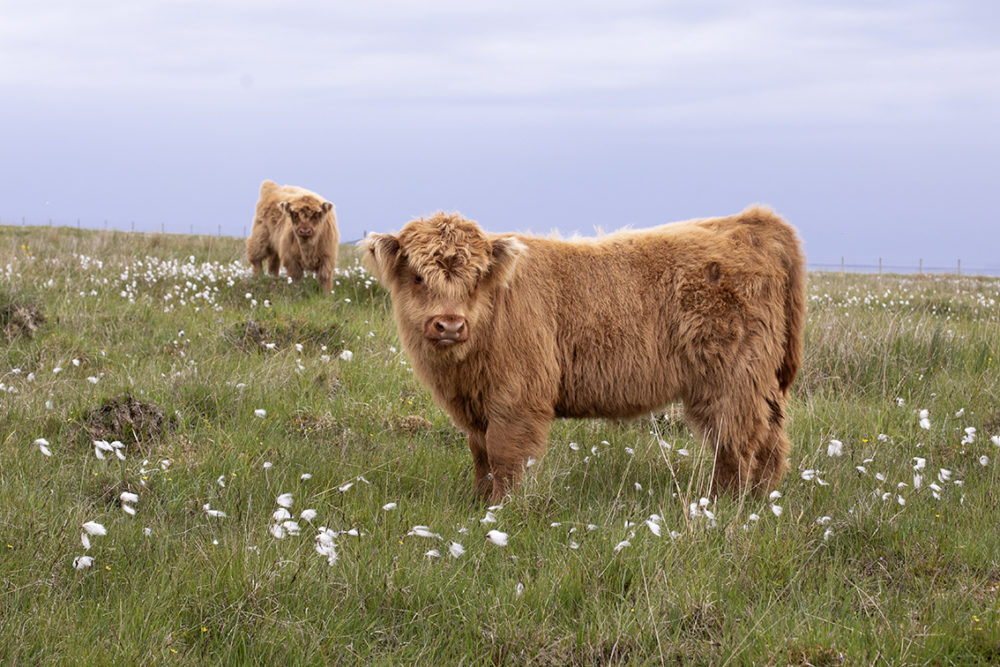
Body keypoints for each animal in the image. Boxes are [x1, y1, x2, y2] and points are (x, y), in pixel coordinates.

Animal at [364, 206, 808, 504]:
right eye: (417, 277)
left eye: (476, 279)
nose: (450, 325)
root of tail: (748, 221)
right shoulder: (476, 407)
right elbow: (481, 455)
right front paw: (478, 502)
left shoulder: (517, 399)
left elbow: (505, 456)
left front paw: (499, 510)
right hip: (759, 384)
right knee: (771, 438)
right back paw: (761, 498)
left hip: (732, 379)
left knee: (736, 441)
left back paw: (722, 503)